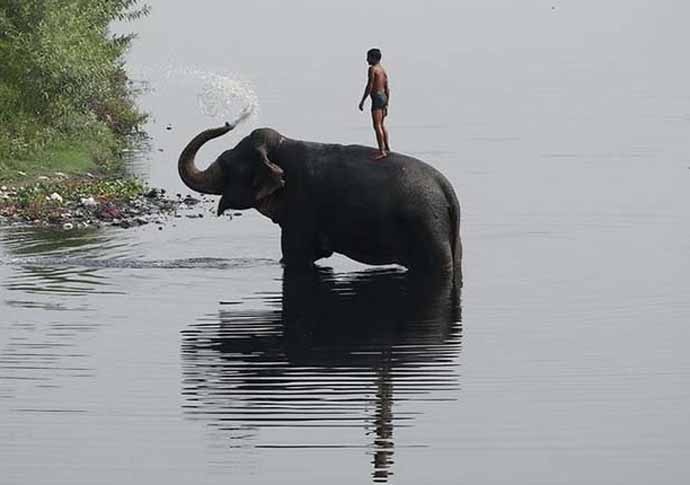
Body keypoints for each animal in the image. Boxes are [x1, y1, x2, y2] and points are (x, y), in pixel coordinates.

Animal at [178, 123, 463, 286]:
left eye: (226, 162)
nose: (228, 123)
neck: (283, 147)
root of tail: (448, 192)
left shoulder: (302, 209)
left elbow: (295, 256)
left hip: (426, 227)